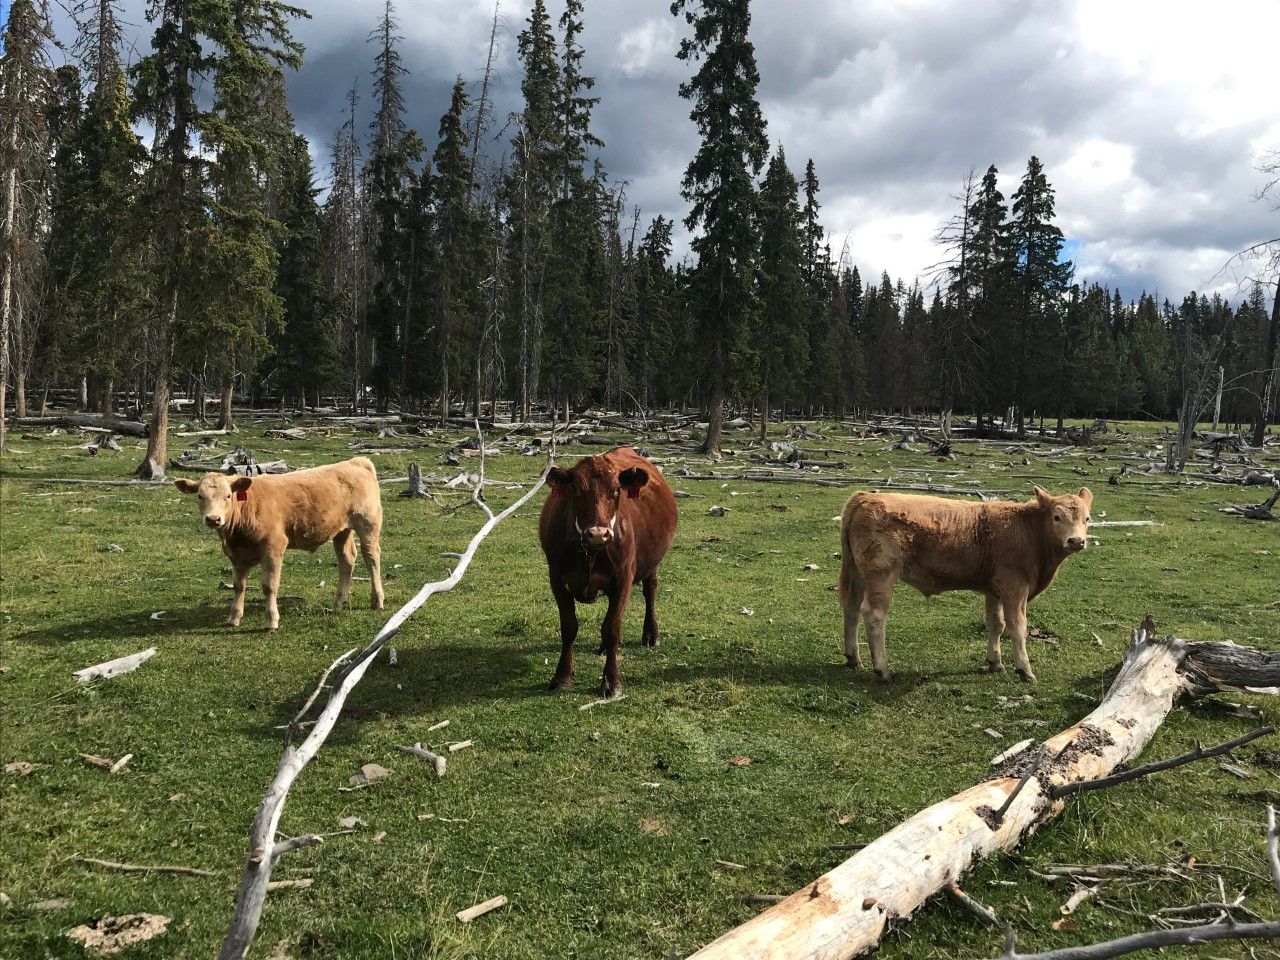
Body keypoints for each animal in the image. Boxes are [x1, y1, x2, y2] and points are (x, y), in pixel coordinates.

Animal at [174, 457, 384, 631]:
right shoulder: (237, 555)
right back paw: (339, 601)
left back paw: (377, 600)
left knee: (371, 558)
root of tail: (356, 462)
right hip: (341, 530)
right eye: (200, 496)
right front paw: (233, 618)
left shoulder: (273, 548)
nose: (213, 519)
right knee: (346, 560)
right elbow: (238, 585)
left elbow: (269, 586)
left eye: (228, 495)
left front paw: (271, 621)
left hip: (368, 523)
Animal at [538, 447, 678, 698]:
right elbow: (569, 627)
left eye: (617, 490)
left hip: (652, 563)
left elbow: (611, 628)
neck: (590, 553)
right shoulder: (556, 579)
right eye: (575, 489)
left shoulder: (623, 578)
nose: (597, 534)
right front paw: (562, 676)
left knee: (650, 591)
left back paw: (651, 635)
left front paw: (611, 682)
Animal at [838, 484, 1093, 683]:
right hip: (881, 575)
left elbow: (996, 623)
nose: (1076, 541)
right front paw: (1024, 670)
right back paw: (882, 669)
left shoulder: (994, 590)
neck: (1029, 531)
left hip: (857, 573)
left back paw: (853, 658)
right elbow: (1017, 627)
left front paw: (995, 662)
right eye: (1057, 517)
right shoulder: (1015, 588)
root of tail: (866, 496)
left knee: (851, 608)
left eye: (1087, 518)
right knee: (873, 615)